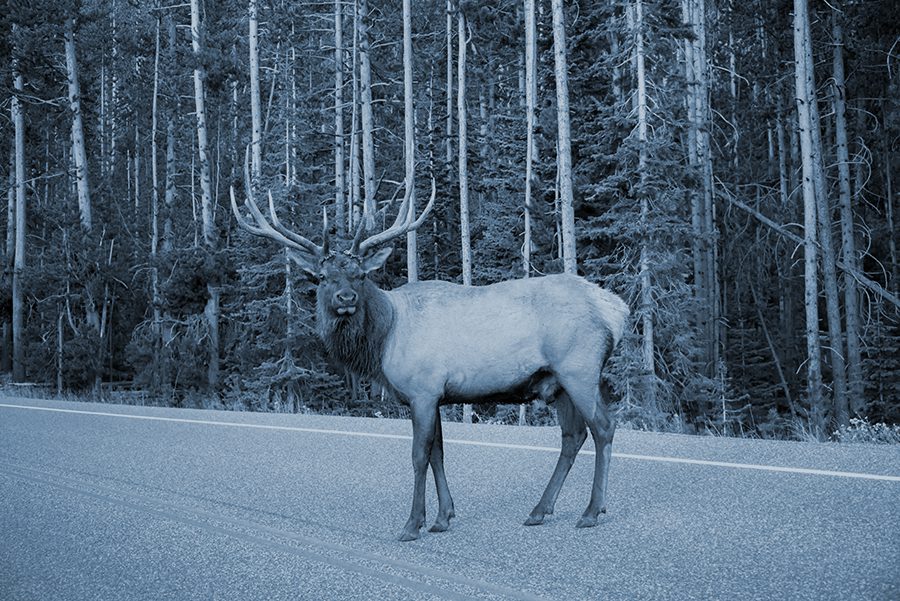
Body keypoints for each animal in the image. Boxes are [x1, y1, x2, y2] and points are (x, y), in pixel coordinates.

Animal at [229, 171, 628, 540]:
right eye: (322, 277)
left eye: (360, 275)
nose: (346, 298)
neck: (384, 338)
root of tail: (616, 309)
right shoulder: (433, 394)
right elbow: (438, 453)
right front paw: (442, 518)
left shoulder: (422, 390)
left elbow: (419, 455)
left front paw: (411, 524)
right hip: (555, 382)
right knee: (573, 436)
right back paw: (540, 510)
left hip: (579, 368)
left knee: (603, 428)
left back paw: (591, 511)